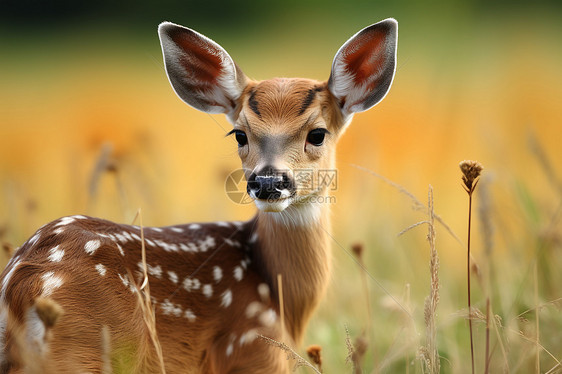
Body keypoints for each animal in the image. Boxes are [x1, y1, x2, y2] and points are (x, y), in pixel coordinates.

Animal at [0, 19, 394, 372]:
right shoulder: (252, 349)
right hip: (84, 347)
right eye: (239, 134)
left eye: (317, 134)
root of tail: (25, 282)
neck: (279, 297)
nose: (267, 182)